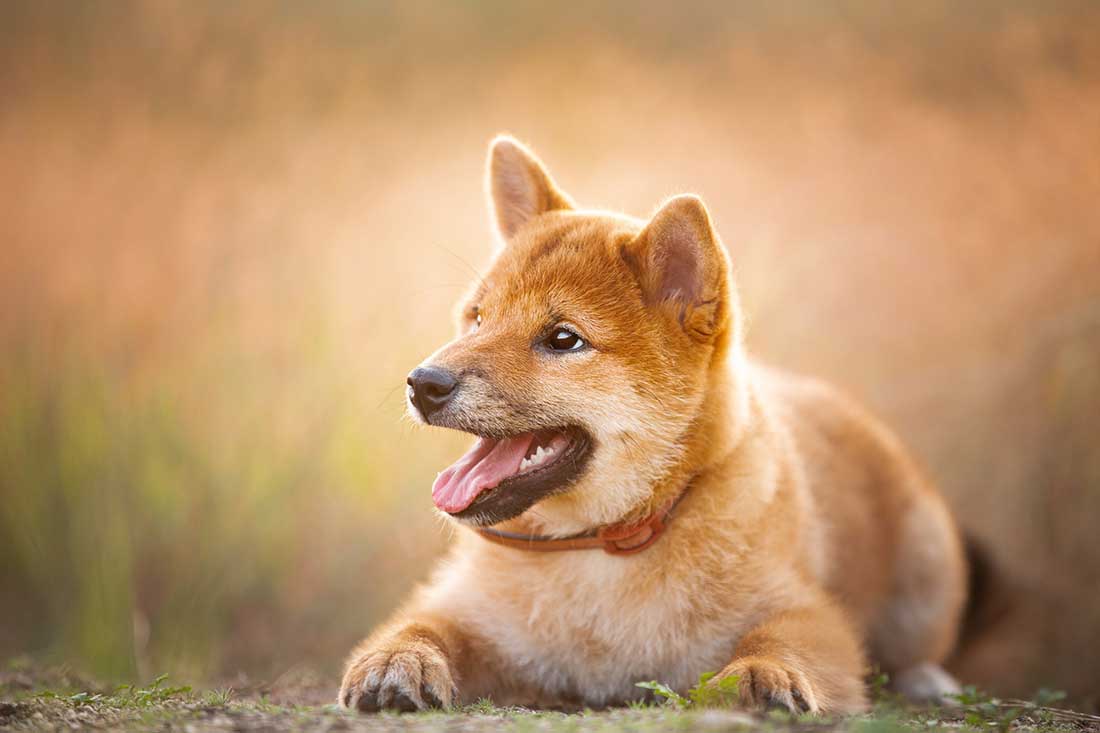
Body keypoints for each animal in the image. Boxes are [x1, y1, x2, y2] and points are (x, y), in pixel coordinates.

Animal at [338, 134, 968, 708]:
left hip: (927, 566)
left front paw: (762, 673)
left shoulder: (807, 611)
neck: (604, 546)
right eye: (477, 317)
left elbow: (781, 640)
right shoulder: (465, 608)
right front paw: (398, 660)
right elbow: (422, 626)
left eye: (563, 339)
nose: (423, 383)